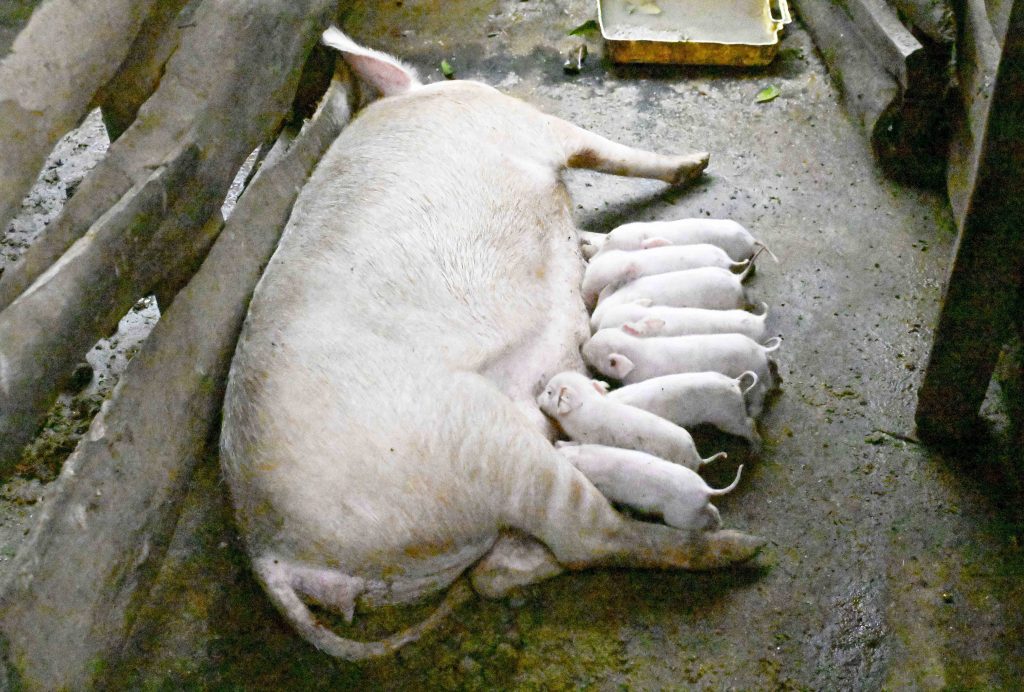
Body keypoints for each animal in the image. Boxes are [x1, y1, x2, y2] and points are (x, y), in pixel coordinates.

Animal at [218, 29, 761, 663]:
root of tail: (270, 551)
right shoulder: (526, 123)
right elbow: (603, 150)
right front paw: (698, 161)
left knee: (496, 573)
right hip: (483, 446)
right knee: (589, 537)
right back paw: (742, 548)